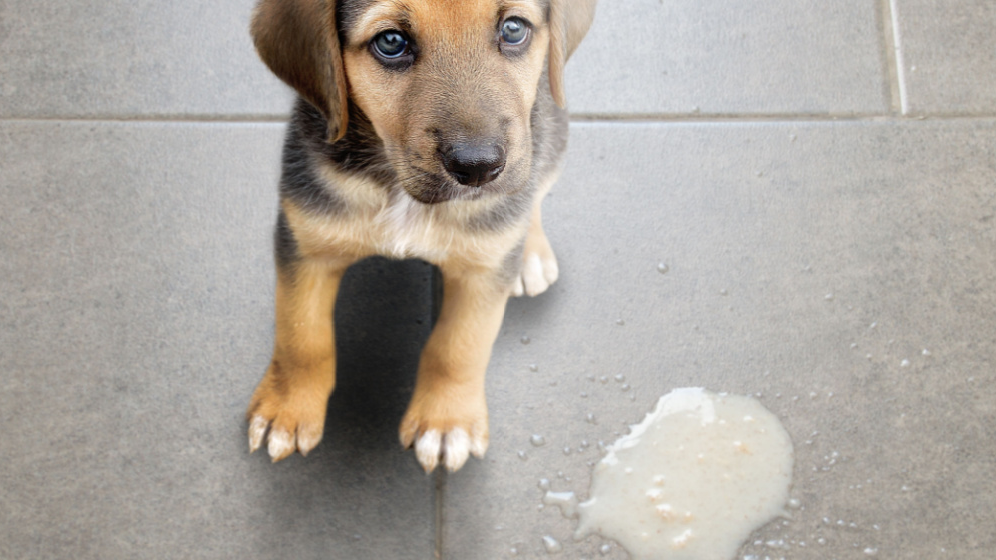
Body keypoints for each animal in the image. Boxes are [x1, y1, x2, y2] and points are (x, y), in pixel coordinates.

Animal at [245, 0, 596, 472]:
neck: (400, 190)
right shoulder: (306, 243)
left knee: (534, 187)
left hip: (550, 133)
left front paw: (447, 423)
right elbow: (301, 335)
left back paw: (530, 253)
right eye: (391, 42)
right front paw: (287, 408)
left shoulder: (483, 271)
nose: (478, 167)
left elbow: (458, 347)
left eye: (513, 29)